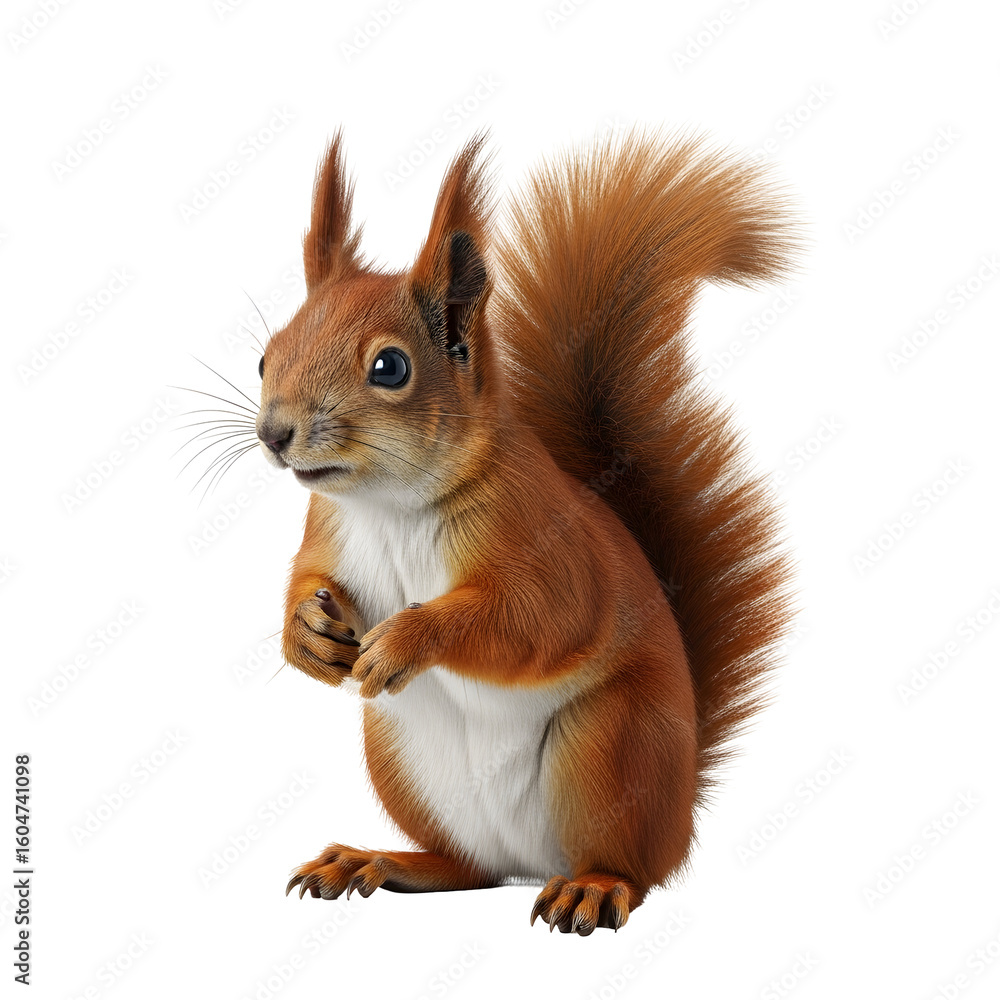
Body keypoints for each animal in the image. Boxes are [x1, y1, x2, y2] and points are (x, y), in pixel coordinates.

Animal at [255, 128, 796, 935]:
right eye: (266, 353)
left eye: (390, 367)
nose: (274, 434)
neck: (391, 504)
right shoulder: (329, 530)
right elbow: (305, 578)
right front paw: (306, 636)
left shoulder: (546, 538)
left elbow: (538, 620)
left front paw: (410, 638)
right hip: (401, 760)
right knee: (467, 867)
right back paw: (376, 860)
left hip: (611, 746)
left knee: (632, 868)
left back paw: (593, 887)